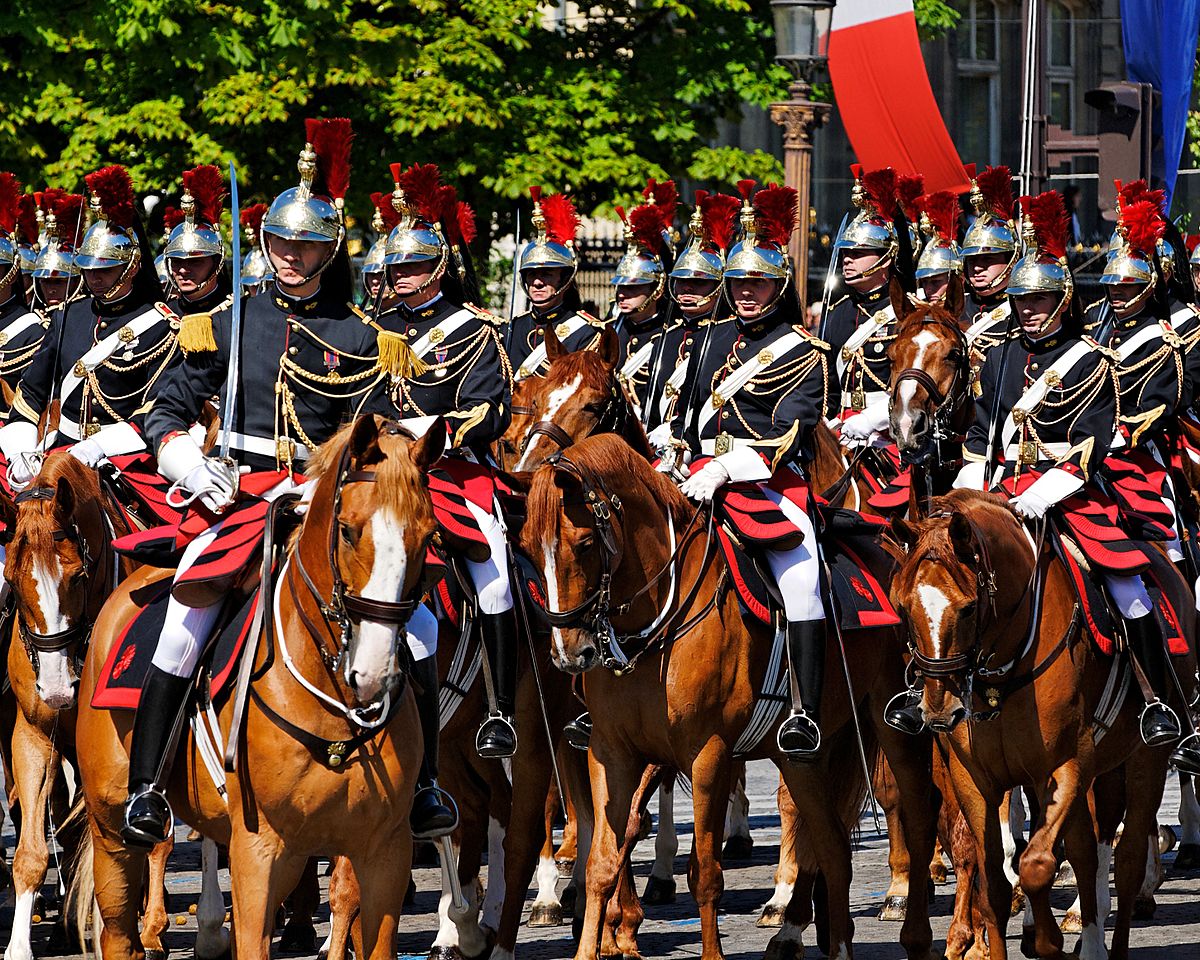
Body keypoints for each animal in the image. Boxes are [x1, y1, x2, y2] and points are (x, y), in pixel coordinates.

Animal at [71, 417, 446, 960]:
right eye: (348, 530)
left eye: (429, 535)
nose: (373, 673)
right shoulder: (259, 854)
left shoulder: (384, 854)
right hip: (112, 833)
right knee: (119, 932)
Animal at [520, 434, 940, 960]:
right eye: (526, 549)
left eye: (584, 543)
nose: (569, 653)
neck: (655, 624)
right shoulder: (610, 753)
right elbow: (603, 862)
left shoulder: (708, 755)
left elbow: (705, 874)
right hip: (801, 755)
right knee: (833, 845)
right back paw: (829, 942)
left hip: (893, 727)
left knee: (917, 817)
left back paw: (912, 927)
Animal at [892, 492, 1190, 960]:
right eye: (903, 607)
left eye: (969, 608)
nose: (940, 712)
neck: (1001, 668)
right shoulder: (975, 780)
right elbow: (995, 887)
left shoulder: (1065, 765)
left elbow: (1035, 865)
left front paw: (1047, 940)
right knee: (1089, 852)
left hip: (1147, 758)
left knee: (1124, 861)